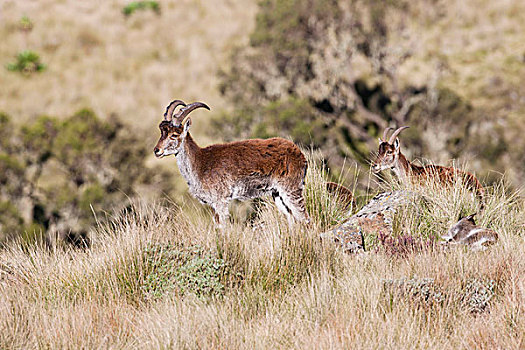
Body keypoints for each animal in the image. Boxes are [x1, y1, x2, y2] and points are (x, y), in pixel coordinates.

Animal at [154, 98, 310, 227]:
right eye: (162, 132)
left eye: (174, 135)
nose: (157, 150)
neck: (200, 163)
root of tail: (300, 155)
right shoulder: (213, 204)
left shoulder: (221, 200)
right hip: (277, 194)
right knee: (291, 218)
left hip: (291, 189)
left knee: (305, 218)